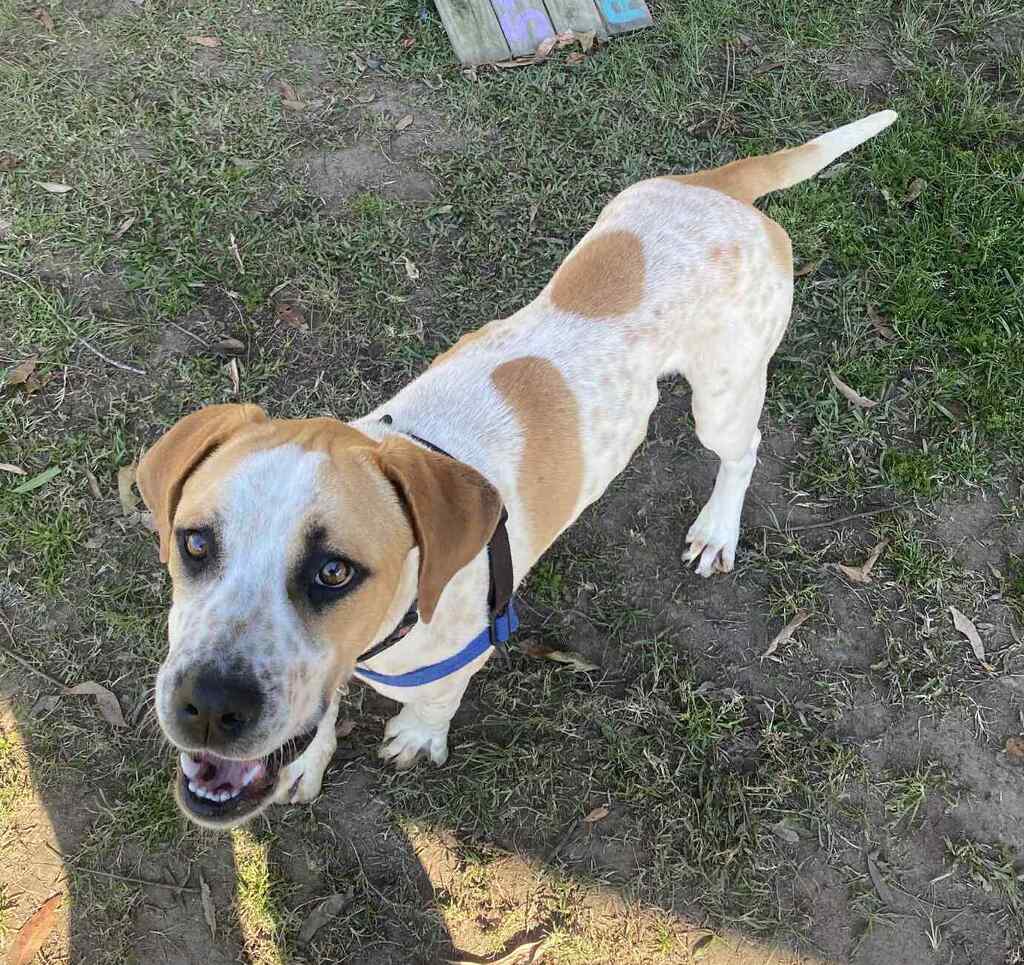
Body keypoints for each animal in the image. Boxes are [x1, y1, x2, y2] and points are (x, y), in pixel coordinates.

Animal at [137, 110, 897, 828]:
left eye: (334, 572)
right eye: (194, 543)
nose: (208, 705)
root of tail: (723, 189)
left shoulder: (453, 660)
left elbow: (434, 705)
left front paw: (417, 736)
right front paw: (307, 761)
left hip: (725, 394)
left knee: (742, 452)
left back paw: (717, 529)